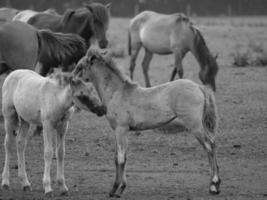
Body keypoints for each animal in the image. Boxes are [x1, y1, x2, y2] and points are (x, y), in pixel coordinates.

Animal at [73, 48, 222, 197]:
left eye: (80, 66)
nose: (72, 80)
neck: (116, 93)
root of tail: (199, 87)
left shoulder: (121, 129)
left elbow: (120, 159)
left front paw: (117, 188)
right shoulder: (119, 131)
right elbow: (119, 158)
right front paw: (117, 189)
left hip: (195, 126)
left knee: (209, 147)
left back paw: (214, 185)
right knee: (212, 144)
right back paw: (215, 184)